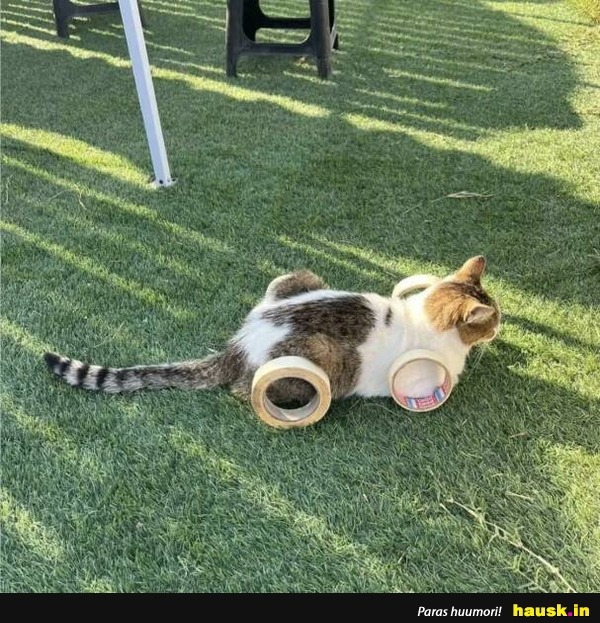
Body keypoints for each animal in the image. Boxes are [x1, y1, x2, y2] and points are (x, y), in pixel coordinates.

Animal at [44, 255, 501, 406]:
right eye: (493, 318)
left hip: (298, 277)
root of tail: (239, 344)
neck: (421, 317)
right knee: (242, 389)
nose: (500, 327)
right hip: (318, 357)